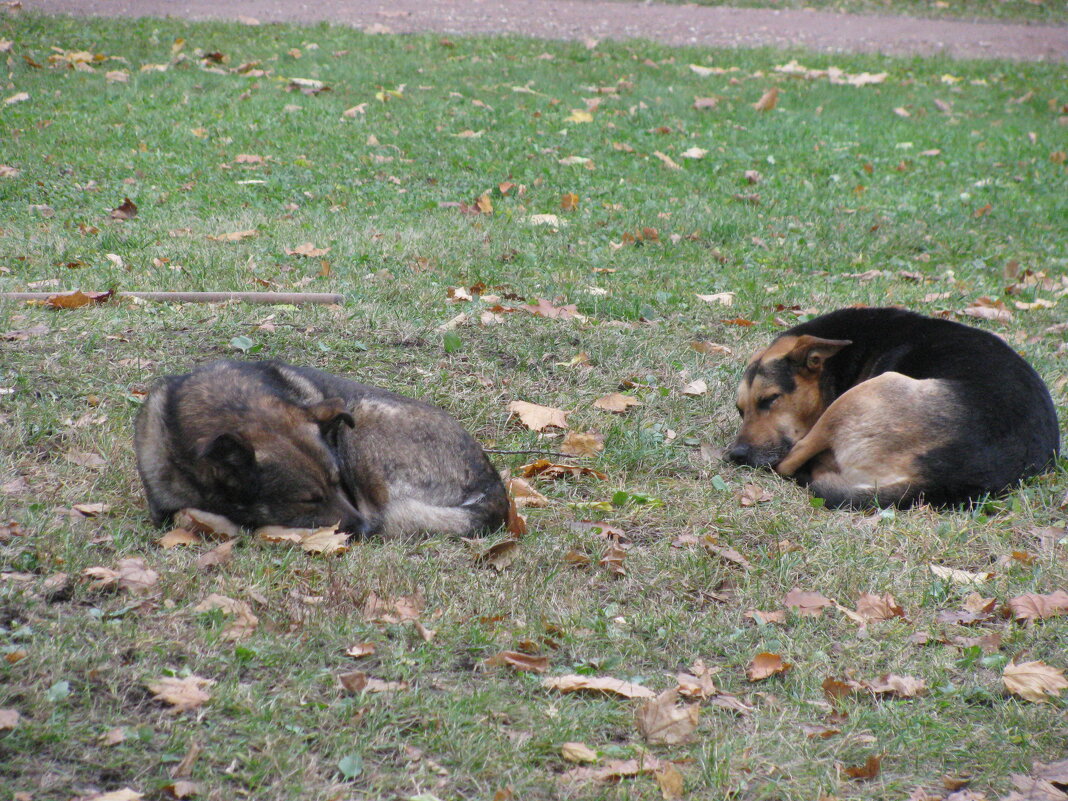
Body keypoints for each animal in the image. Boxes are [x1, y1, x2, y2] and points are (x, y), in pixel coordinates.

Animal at [726, 307, 1059, 508]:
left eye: (769, 399)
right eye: (741, 410)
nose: (736, 455)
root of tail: (938, 475)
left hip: (869, 391)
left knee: (790, 462)